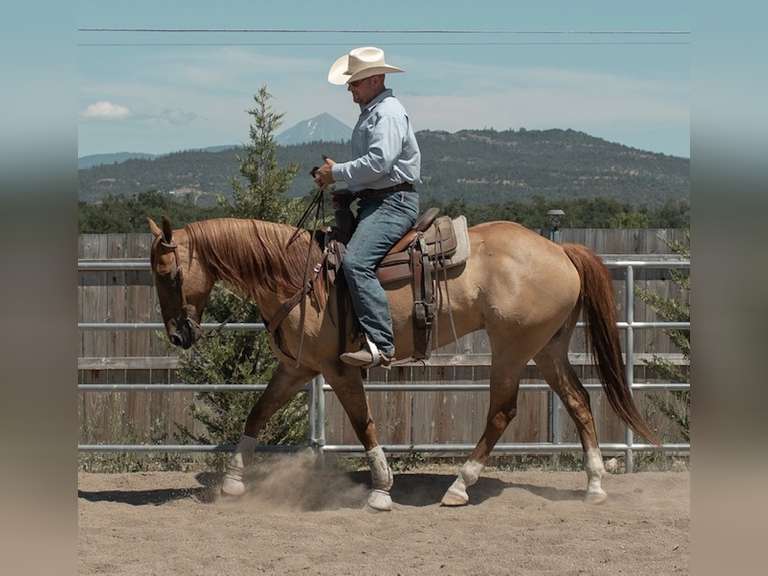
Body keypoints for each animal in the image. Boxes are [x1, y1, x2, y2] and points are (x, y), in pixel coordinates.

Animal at [147, 215, 657, 511]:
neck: (297, 275)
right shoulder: (298, 368)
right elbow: (257, 413)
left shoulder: (338, 369)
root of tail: (559, 250)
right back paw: (594, 483)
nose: (177, 334)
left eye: (167, 273)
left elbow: (363, 423)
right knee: (579, 400)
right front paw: (233, 481)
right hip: (547, 347)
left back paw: (460, 486)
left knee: (502, 411)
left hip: (512, 348)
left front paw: (381, 487)